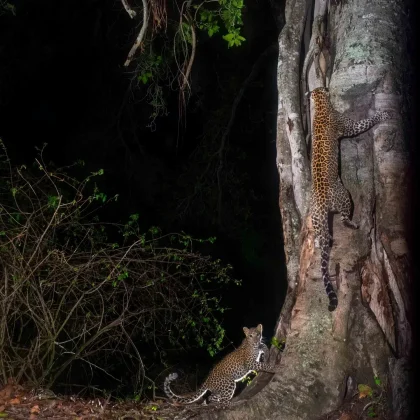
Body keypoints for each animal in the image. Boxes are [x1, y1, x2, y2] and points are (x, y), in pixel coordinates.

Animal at [308, 87, 390, 312]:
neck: (321, 105)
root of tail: (320, 202)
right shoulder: (349, 126)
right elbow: (365, 122)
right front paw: (383, 116)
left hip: (316, 219)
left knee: (322, 236)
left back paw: (320, 241)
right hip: (345, 197)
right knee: (344, 219)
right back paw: (353, 224)